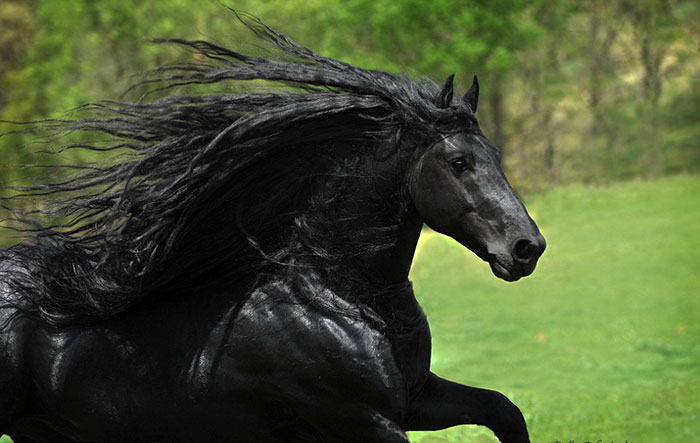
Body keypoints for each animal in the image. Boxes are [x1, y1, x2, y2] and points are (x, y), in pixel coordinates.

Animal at [0, 12, 545, 442]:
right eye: (459, 163)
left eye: (496, 155)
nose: (527, 248)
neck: (338, 296)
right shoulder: (362, 420)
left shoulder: (416, 398)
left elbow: (504, 411)